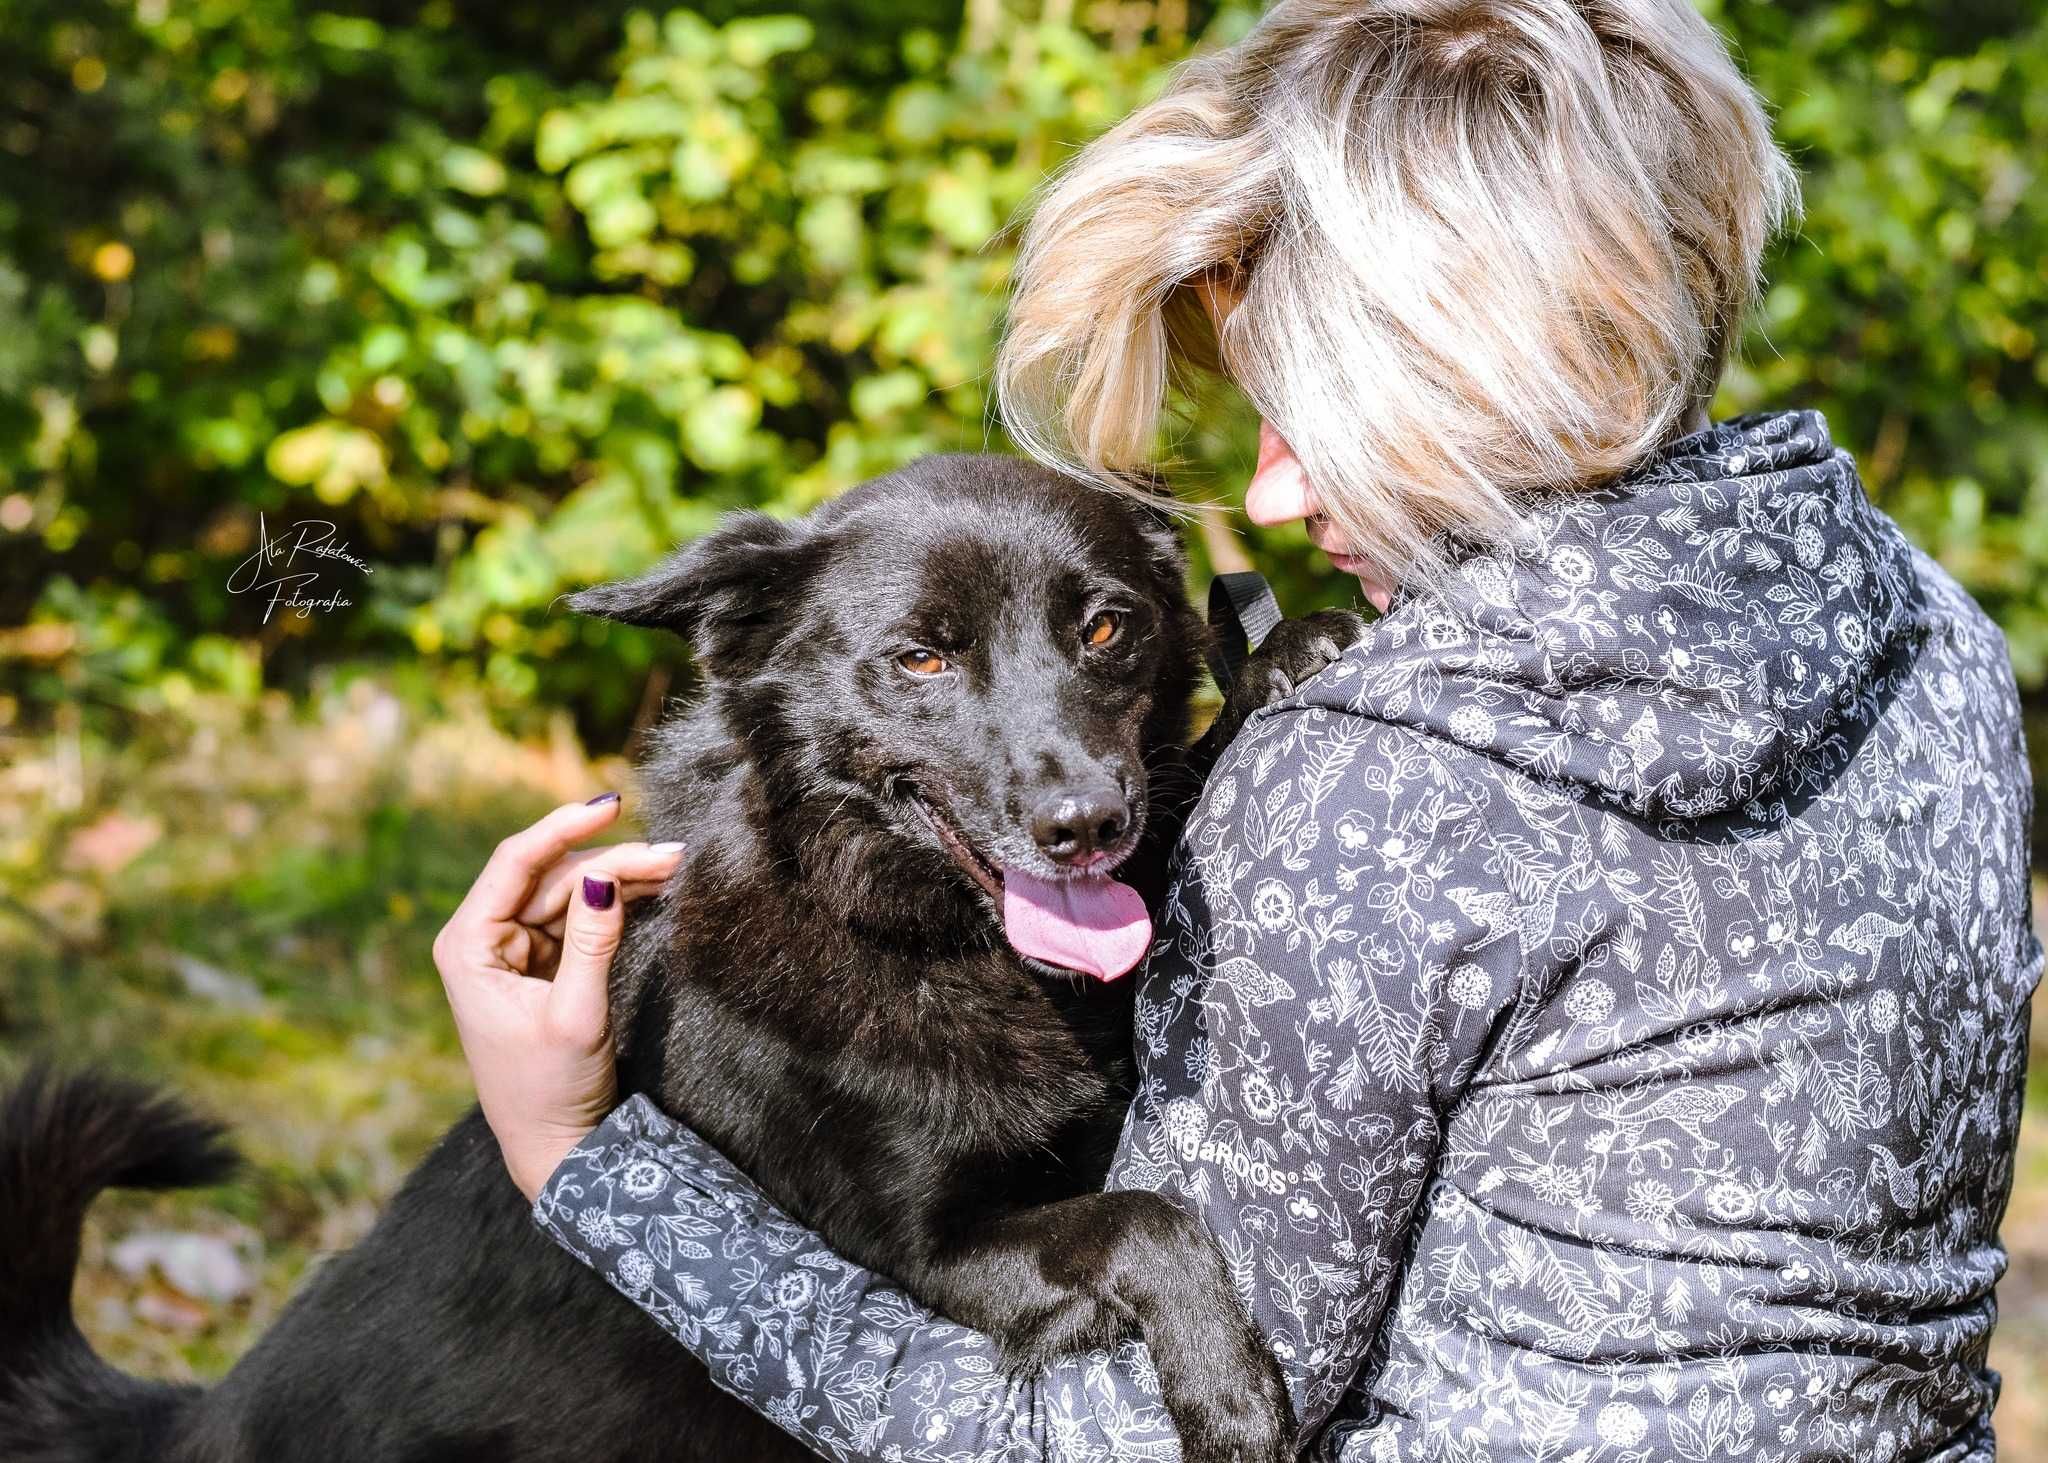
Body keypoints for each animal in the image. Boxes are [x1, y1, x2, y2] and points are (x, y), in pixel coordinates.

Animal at [4, 454, 1359, 1458]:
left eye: (1107, 627)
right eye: (921, 654)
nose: (1086, 823)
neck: (900, 931)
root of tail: (193, 1424)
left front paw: (1284, 655)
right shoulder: (927, 1254)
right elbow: (1144, 1213)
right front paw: (1229, 1387)